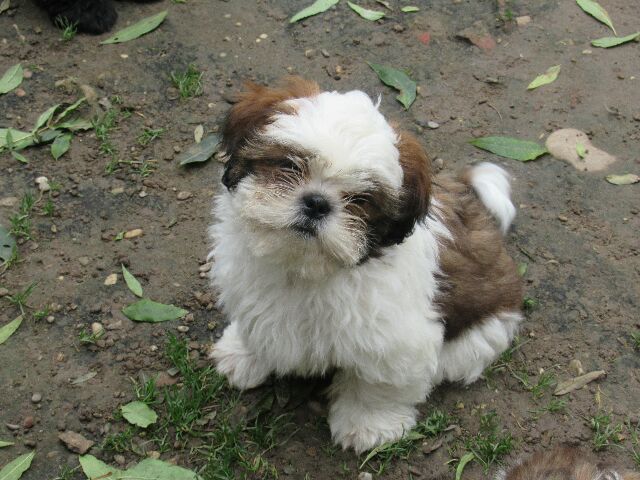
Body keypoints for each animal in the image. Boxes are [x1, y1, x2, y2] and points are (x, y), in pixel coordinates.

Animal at [208, 77, 523, 453]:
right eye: (289, 166)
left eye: (360, 200)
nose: (317, 203)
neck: (306, 268)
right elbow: (255, 323)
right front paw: (242, 353)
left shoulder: (395, 340)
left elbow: (379, 384)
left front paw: (368, 424)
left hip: (480, 335)